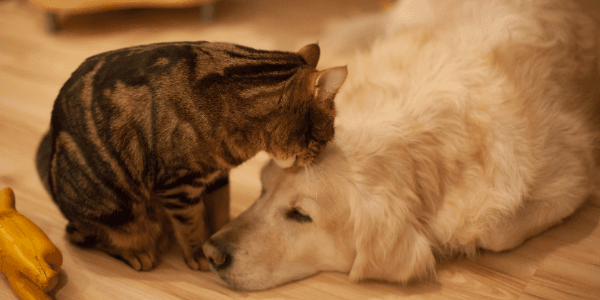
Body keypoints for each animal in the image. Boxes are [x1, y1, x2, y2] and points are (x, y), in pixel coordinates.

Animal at [36, 41, 346, 272]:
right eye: (323, 138)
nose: (318, 157)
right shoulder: (178, 187)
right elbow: (192, 225)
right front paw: (199, 254)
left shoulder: (217, 177)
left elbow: (219, 211)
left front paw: (218, 238)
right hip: (118, 211)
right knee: (98, 236)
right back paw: (138, 252)